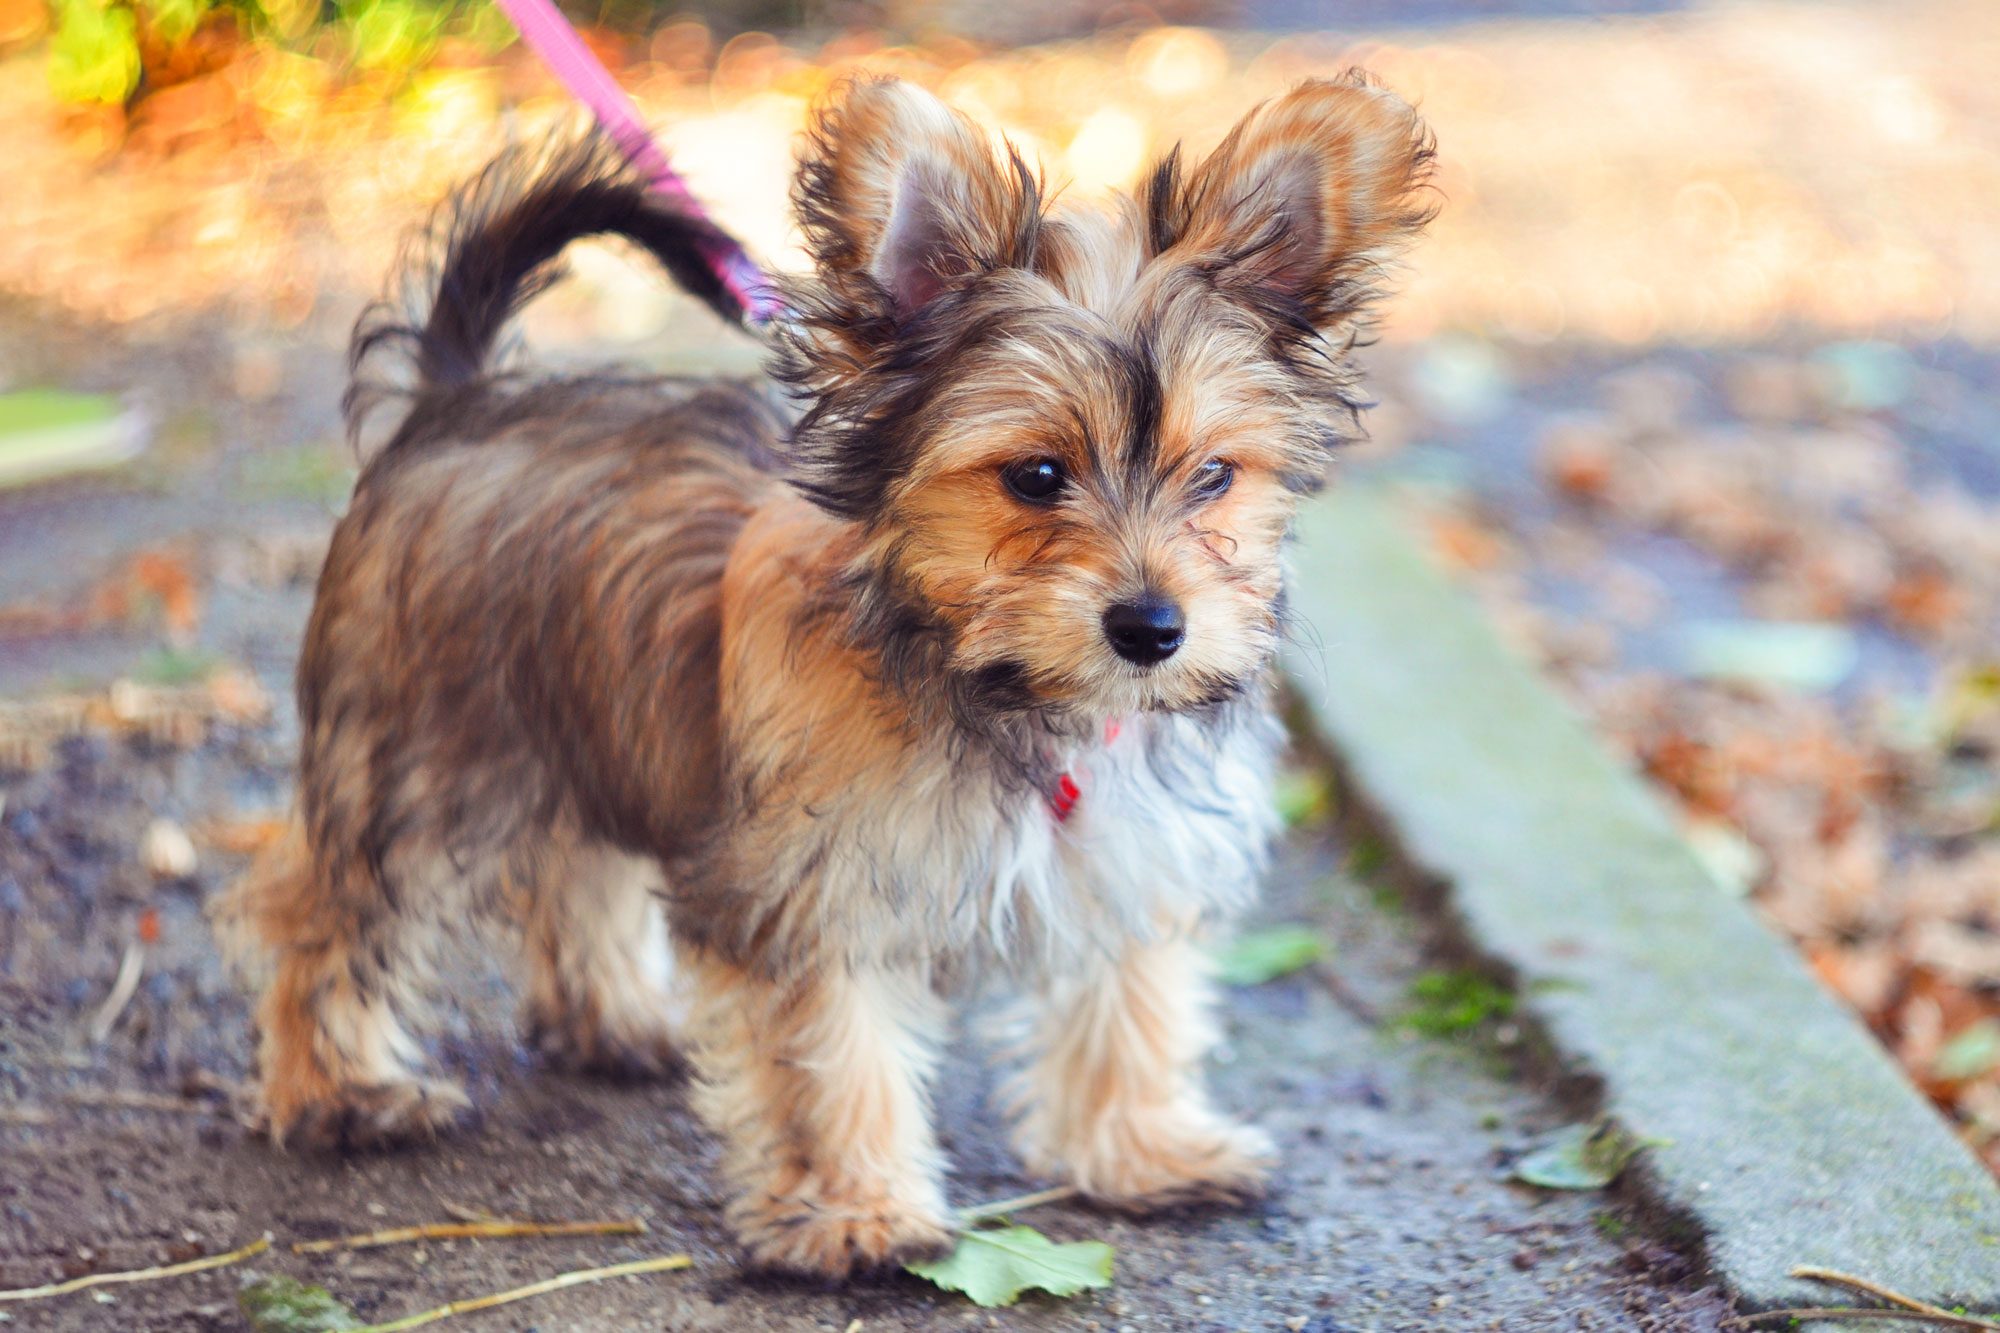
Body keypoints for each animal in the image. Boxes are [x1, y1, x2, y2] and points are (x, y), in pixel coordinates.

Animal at [215, 75, 1440, 1280]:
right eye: (1037, 475)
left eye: (1216, 475)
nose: (1151, 627)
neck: (1004, 688)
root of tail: (456, 401)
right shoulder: (815, 889)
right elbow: (828, 1054)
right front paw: (852, 1211)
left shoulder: (1128, 855)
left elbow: (1129, 1003)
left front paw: (1143, 1146)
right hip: (420, 758)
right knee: (324, 906)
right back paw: (340, 1088)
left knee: (578, 866)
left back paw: (614, 1020)